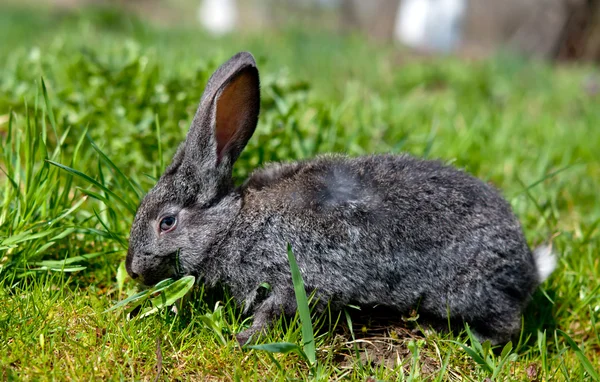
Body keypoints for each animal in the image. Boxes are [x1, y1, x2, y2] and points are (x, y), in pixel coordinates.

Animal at [125, 50, 556, 346]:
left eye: (167, 222)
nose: (132, 269)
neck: (232, 224)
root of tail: (528, 267)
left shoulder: (293, 275)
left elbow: (273, 310)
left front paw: (245, 339)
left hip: (468, 292)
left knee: (506, 326)